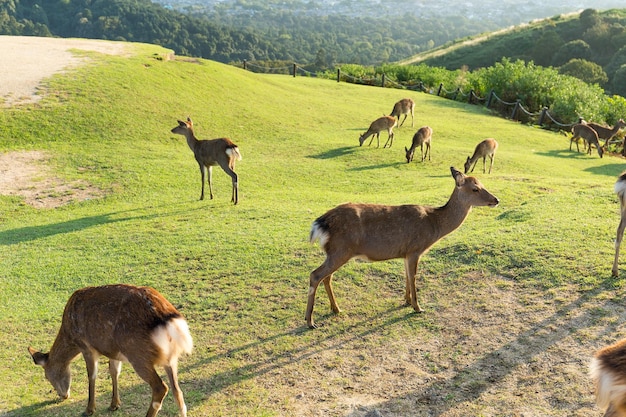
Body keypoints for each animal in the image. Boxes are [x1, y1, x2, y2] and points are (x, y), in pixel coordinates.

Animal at [27, 282, 193, 416]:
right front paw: (114, 404)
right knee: (178, 393)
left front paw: (89, 409)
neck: (69, 335)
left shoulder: (86, 346)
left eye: (47, 376)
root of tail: (167, 319)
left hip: (137, 354)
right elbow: (114, 371)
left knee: (161, 387)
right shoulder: (114, 351)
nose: (63, 396)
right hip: (170, 358)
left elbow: (92, 375)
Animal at [304, 166, 498, 328]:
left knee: (327, 277)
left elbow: (406, 275)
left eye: (482, 184)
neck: (434, 225)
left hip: (336, 252)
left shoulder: (405, 253)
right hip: (341, 250)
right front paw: (417, 307)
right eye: (475, 188)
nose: (496, 199)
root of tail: (320, 224)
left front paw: (406, 300)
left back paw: (336, 309)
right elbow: (413, 276)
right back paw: (310, 321)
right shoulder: (415, 249)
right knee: (315, 275)